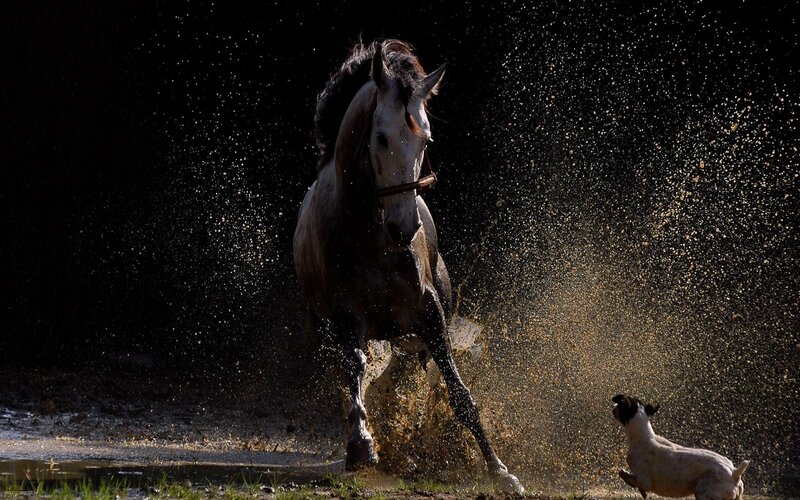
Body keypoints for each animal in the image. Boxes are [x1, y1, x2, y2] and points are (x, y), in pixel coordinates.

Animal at [293, 39, 523, 493]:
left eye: (425, 140)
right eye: (380, 137)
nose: (404, 227)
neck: (371, 234)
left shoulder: (430, 312)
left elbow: (459, 391)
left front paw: (500, 470)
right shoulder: (347, 315)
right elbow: (355, 368)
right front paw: (361, 445)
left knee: (404, 371)